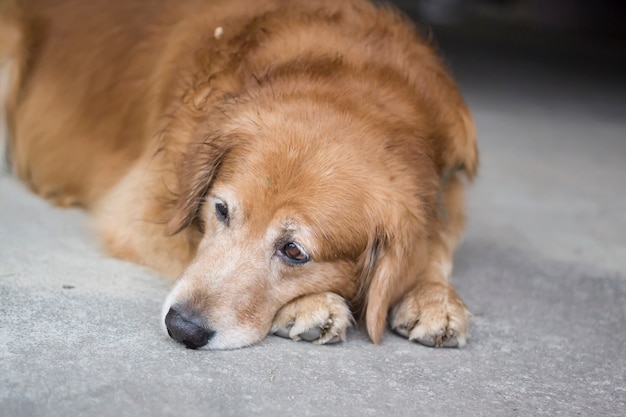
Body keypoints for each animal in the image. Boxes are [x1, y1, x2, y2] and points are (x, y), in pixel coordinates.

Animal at [1, 0, 478, 348]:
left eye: (294, 251)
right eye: (221, 210)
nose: (182, 328)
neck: (358, 82)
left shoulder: (450, 192)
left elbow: (434, 247)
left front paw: (434, 297)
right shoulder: (138, 210)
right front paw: (311, 305)